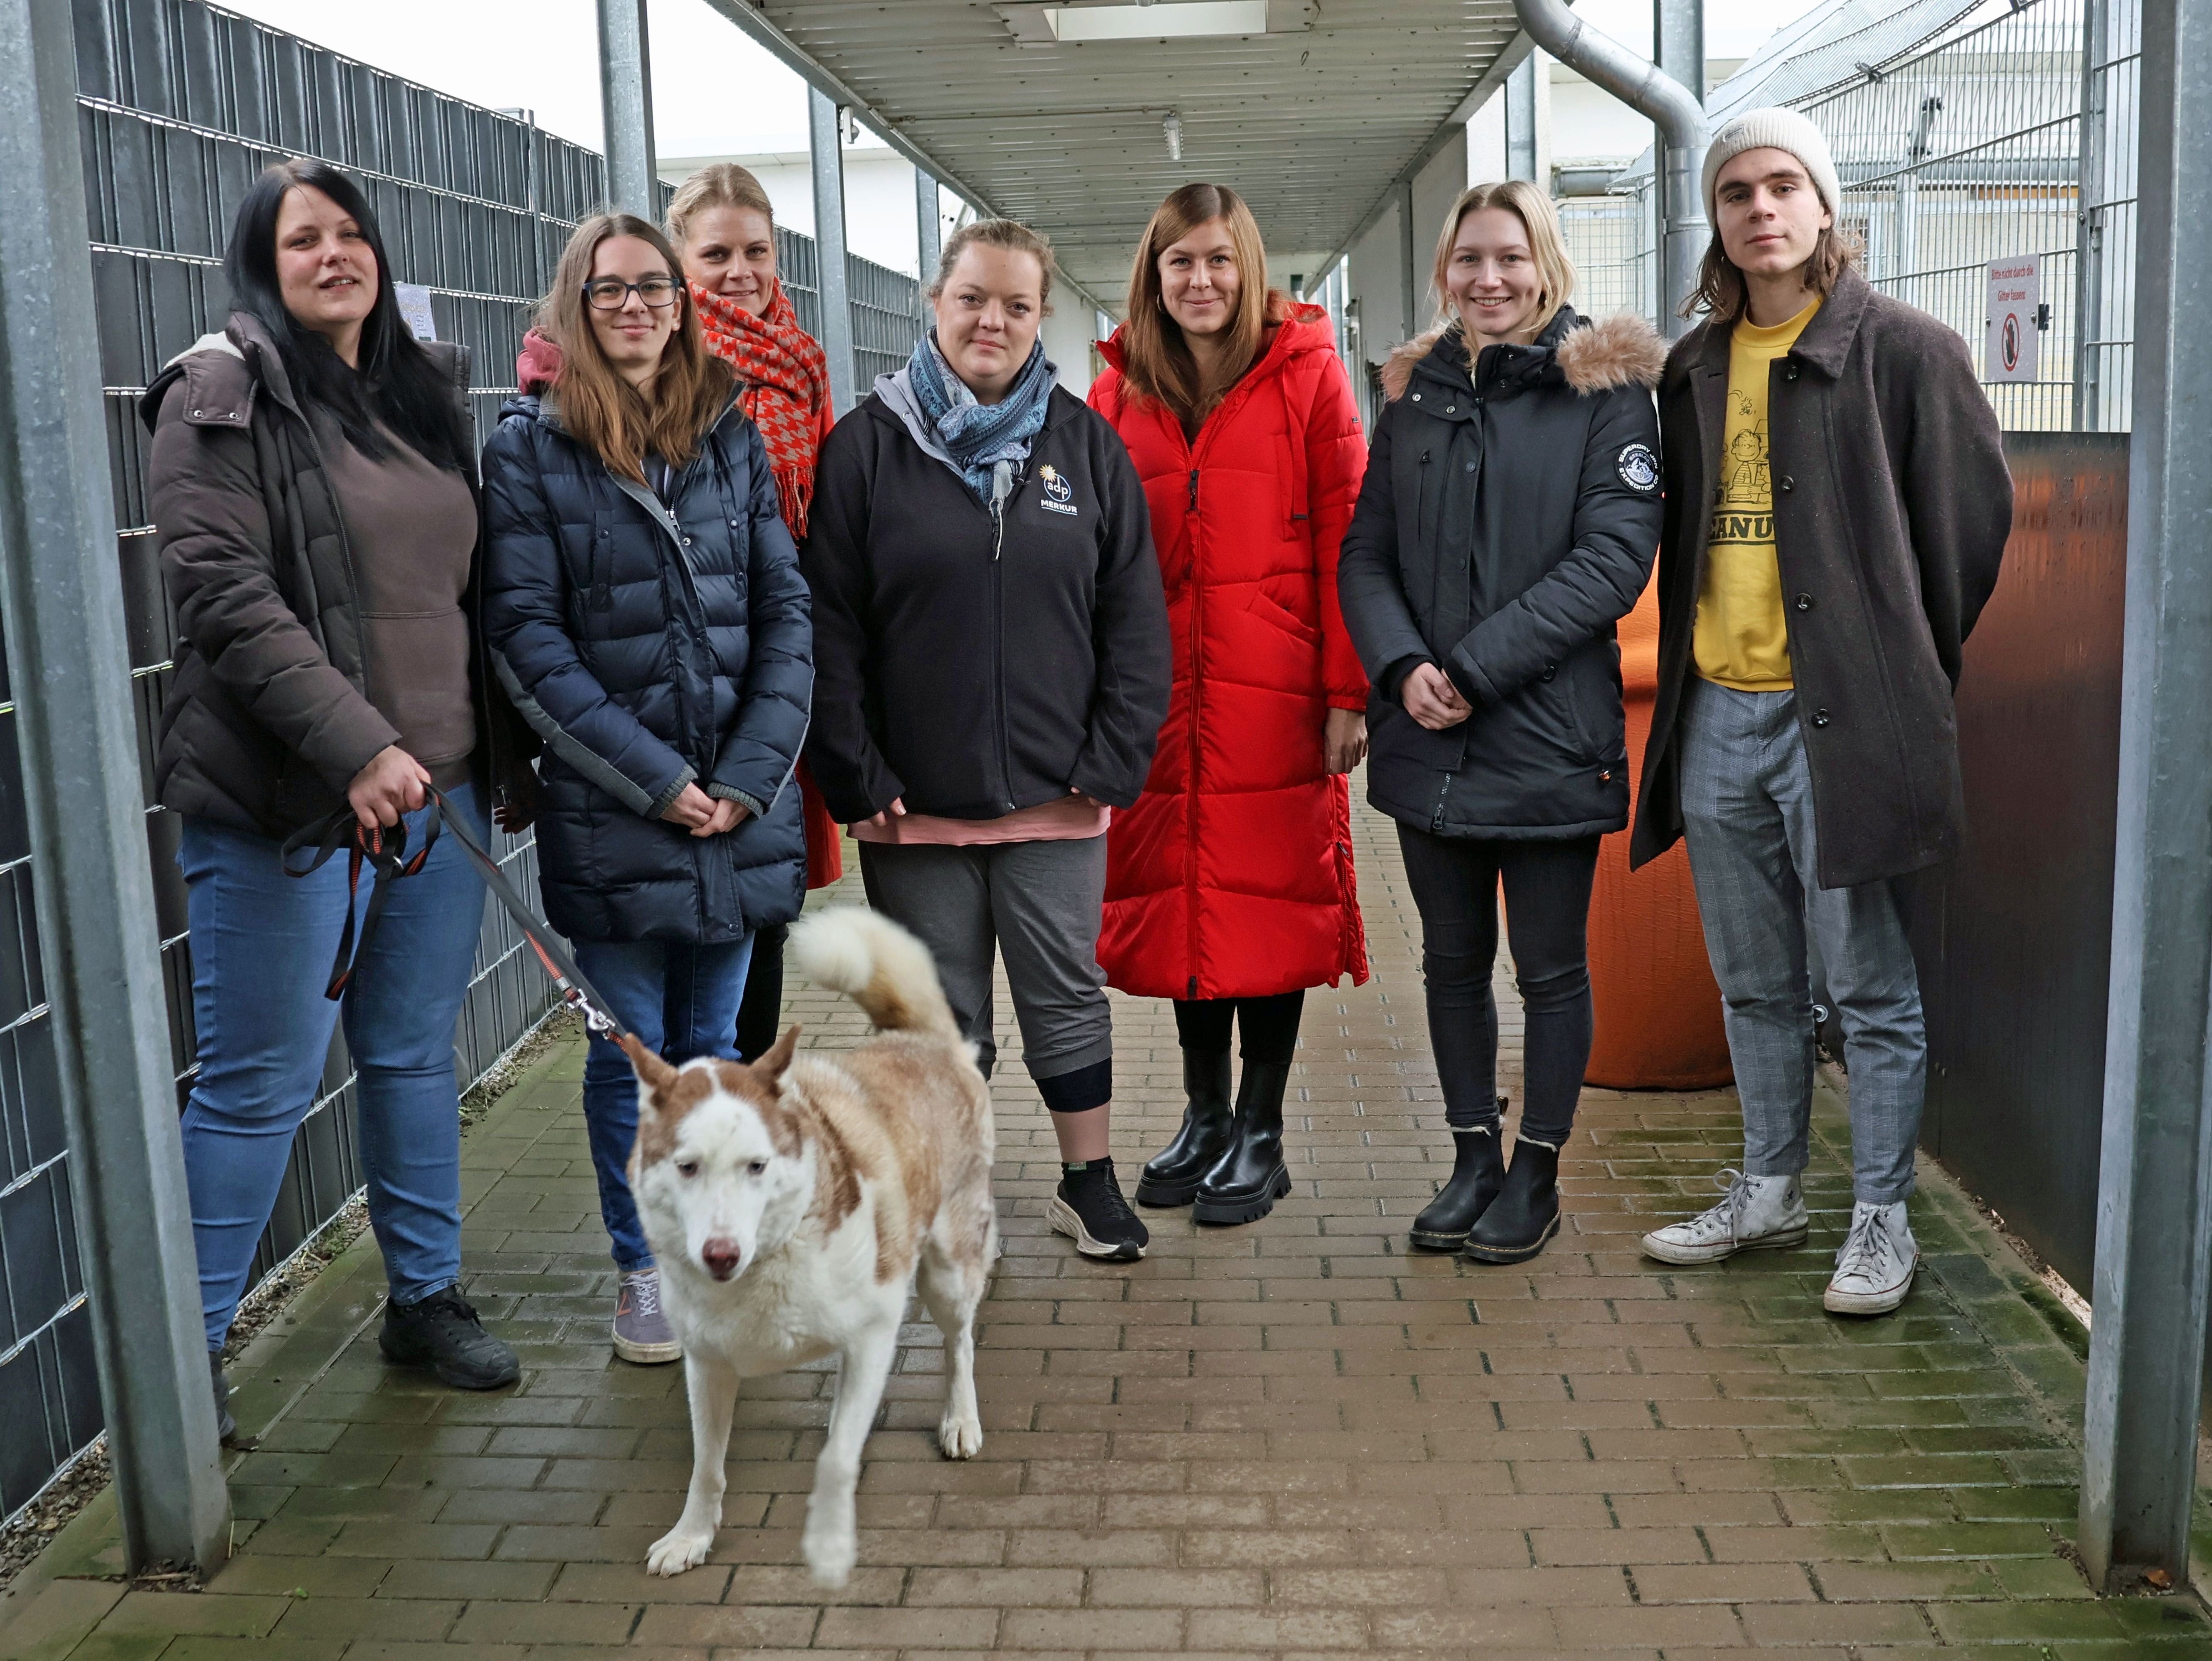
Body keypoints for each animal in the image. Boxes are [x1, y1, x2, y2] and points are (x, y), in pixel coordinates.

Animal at [624, 911, 1004, 1583]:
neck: (769, 1261)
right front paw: (691, 1535)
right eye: (687, 1166)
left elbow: (839, 1459)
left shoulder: (877, 1327)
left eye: (756, 1165)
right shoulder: (707, 1364)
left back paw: (960, 1419)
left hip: (947, 1274)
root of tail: (924, 1040)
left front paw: (828, 1540)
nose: (720, 1254)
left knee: (959, 1342)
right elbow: (706, 1467)